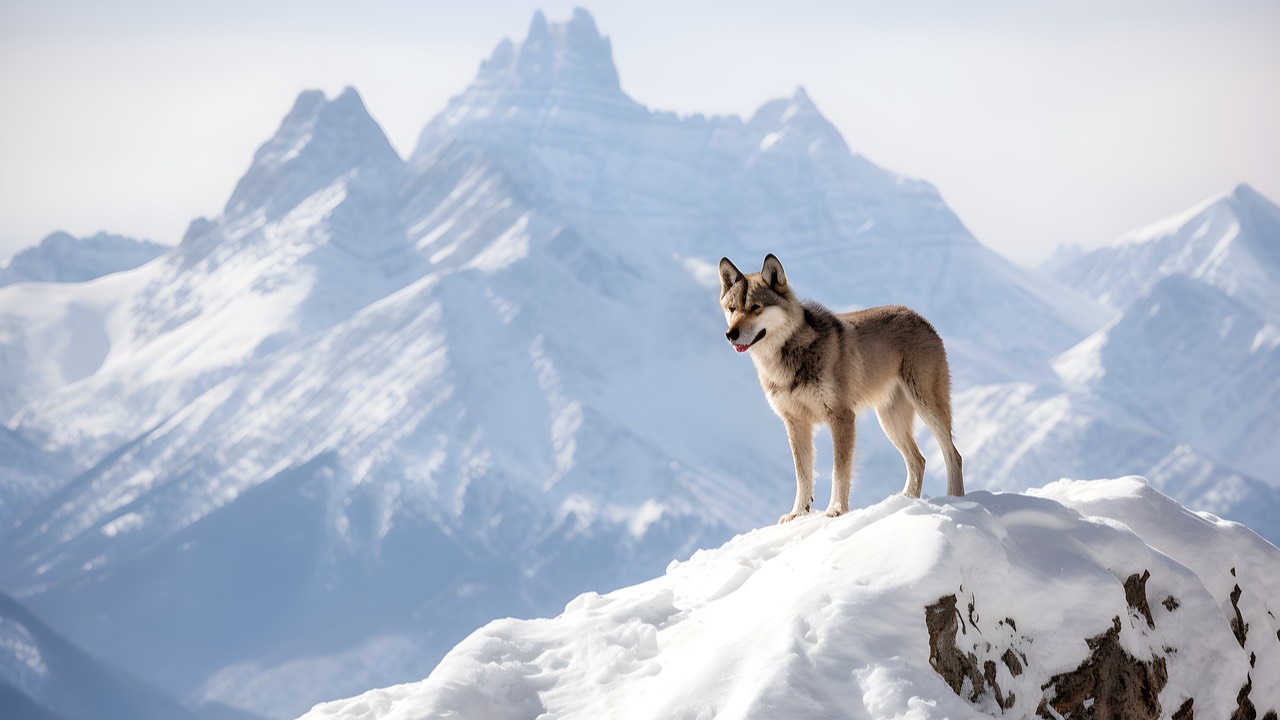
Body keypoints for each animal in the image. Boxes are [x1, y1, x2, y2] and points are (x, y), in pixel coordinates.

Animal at [719, 254, 964, 523]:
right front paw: (797, 514)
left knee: (953, 455)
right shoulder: (795, 423)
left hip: (926, 407)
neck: (788, 358)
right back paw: (906, 502)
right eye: (732, 309)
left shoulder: (841, 417)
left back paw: (955, 499)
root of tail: (920, 318)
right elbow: (803, 475)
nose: (731, 334)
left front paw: (836, 510)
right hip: (890, 422)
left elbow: (840, 471)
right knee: (918, 460)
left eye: (756, 308)